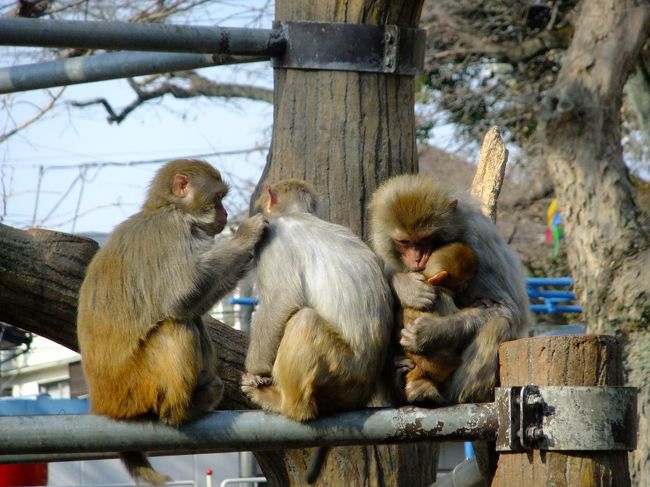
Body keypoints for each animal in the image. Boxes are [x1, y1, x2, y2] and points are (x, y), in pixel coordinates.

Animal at [76, 159, 266, 484]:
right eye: (218, 198)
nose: (226, 214)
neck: (167, 208)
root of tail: (102, 404)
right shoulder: (172, 232)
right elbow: (181, 296)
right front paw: (245, 237)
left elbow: (189, 303)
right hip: (136, 387)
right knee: (175, 327)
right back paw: (181, 411)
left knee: (191, 320)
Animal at [240, 180, 392, 424]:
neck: (300, 214)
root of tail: (362, 391)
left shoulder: (274, 237)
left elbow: (281, 300)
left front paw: (255, 370)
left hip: (341, 372)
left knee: (305, 320)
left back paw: (287, 404)